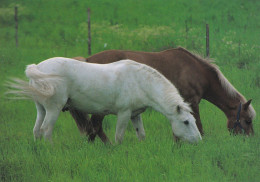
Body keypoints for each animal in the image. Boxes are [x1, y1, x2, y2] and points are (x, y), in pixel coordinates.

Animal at [5, 57, 201, 144]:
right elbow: (119, 137)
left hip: (41, 109)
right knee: (46, 130)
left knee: (37, 130)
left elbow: (141, 134)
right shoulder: (124, 114)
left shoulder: (135, 115)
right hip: (54, 109)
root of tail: (38, 67)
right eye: (186, 122)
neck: (140, 81)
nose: (199, 140)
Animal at [67, 47, 256, 144]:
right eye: (247, 121)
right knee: (94, 127)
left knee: (95, 128)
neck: (195, 71)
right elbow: (199, 126)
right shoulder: (192, 102)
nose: (250, 140)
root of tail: (88, 60)